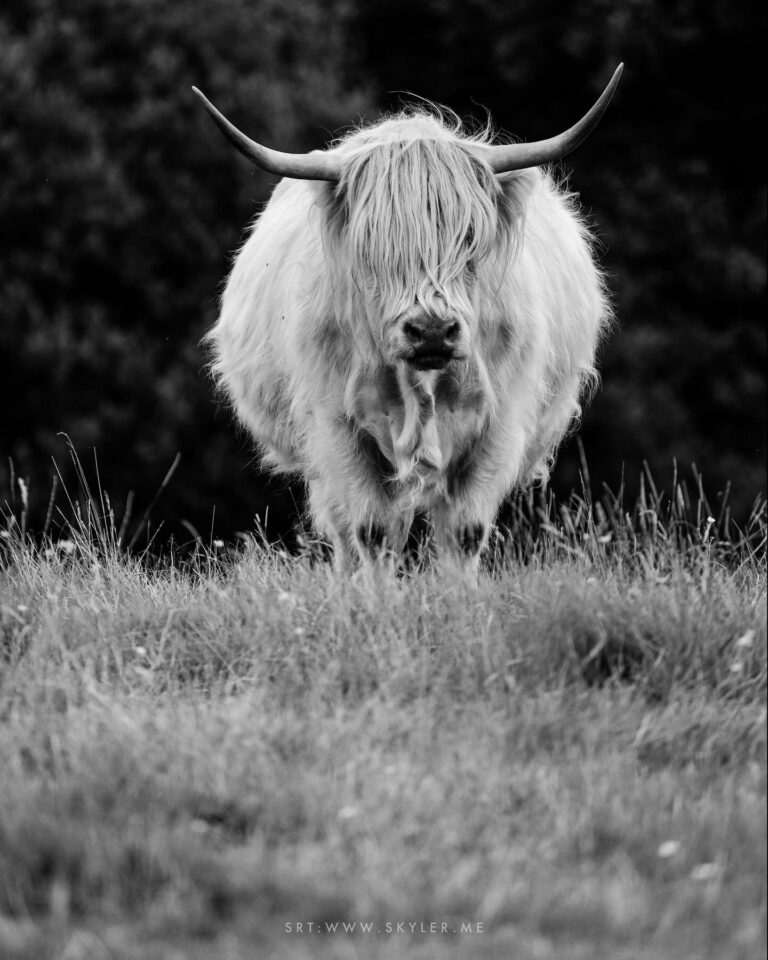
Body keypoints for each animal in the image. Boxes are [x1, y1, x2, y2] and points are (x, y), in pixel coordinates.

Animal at [194, 65, 622, 570]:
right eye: (373, 246)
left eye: (471, 238)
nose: (432, 331)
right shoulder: (335, 428)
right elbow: (372, 531)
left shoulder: (498, 427)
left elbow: (464, 533)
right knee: (348, 534)